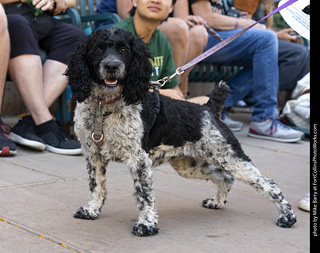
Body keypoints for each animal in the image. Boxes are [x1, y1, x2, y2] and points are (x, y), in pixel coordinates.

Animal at [65, 28, 298, 237]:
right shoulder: (94, 156)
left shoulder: (139, 161)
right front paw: (91, 210)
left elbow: (144, 196)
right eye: (97, 49)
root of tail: (209, 108)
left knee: (269, 184)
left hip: (232, 158)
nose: (111, 66)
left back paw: (287, 217)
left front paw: (147, 224)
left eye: (123, 50)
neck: (103, 110)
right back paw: (217, 202)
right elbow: (96, 186)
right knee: (225, 178)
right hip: (190, 165)